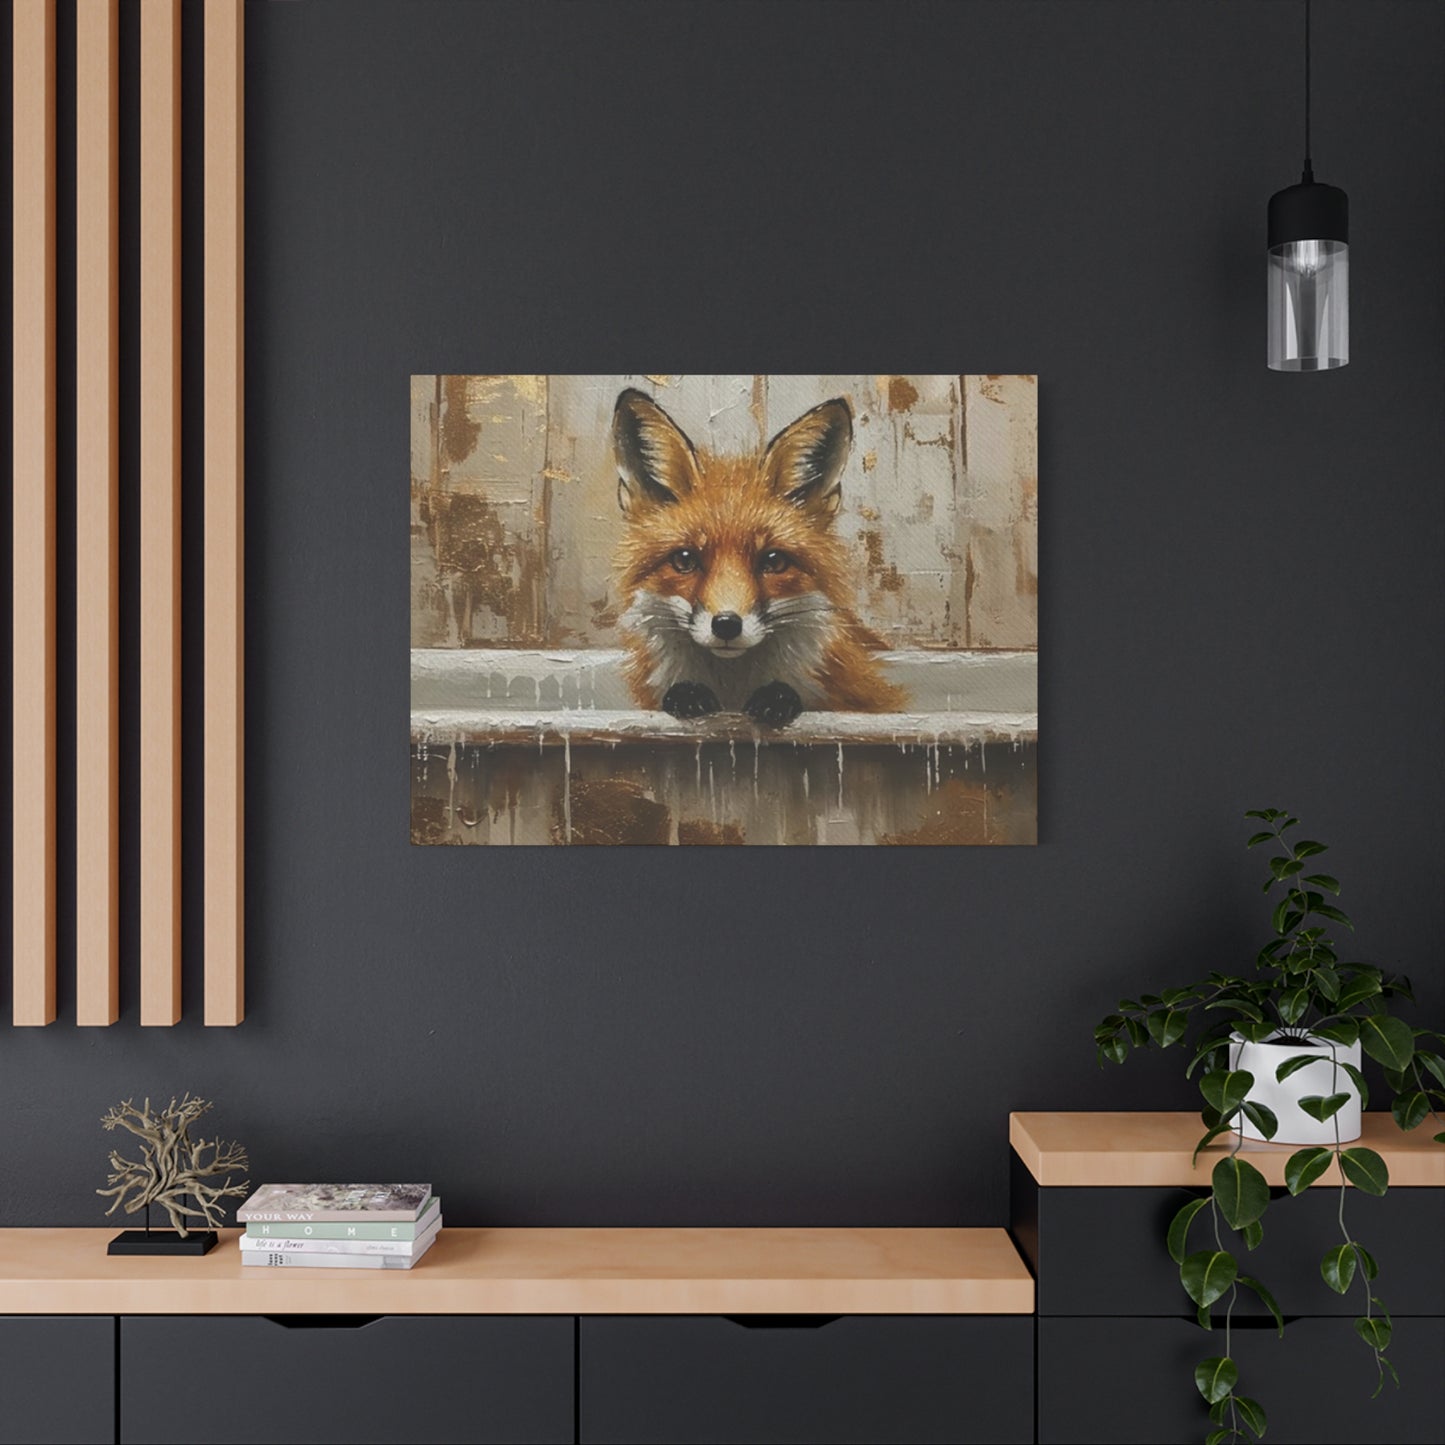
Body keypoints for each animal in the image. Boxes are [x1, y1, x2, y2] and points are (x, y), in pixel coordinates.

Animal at [612, 387, 906, 727]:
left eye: (774, 561)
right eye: (684, 560)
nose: (726, 625)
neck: (732, 691)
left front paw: (777, 698)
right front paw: (687, 694)